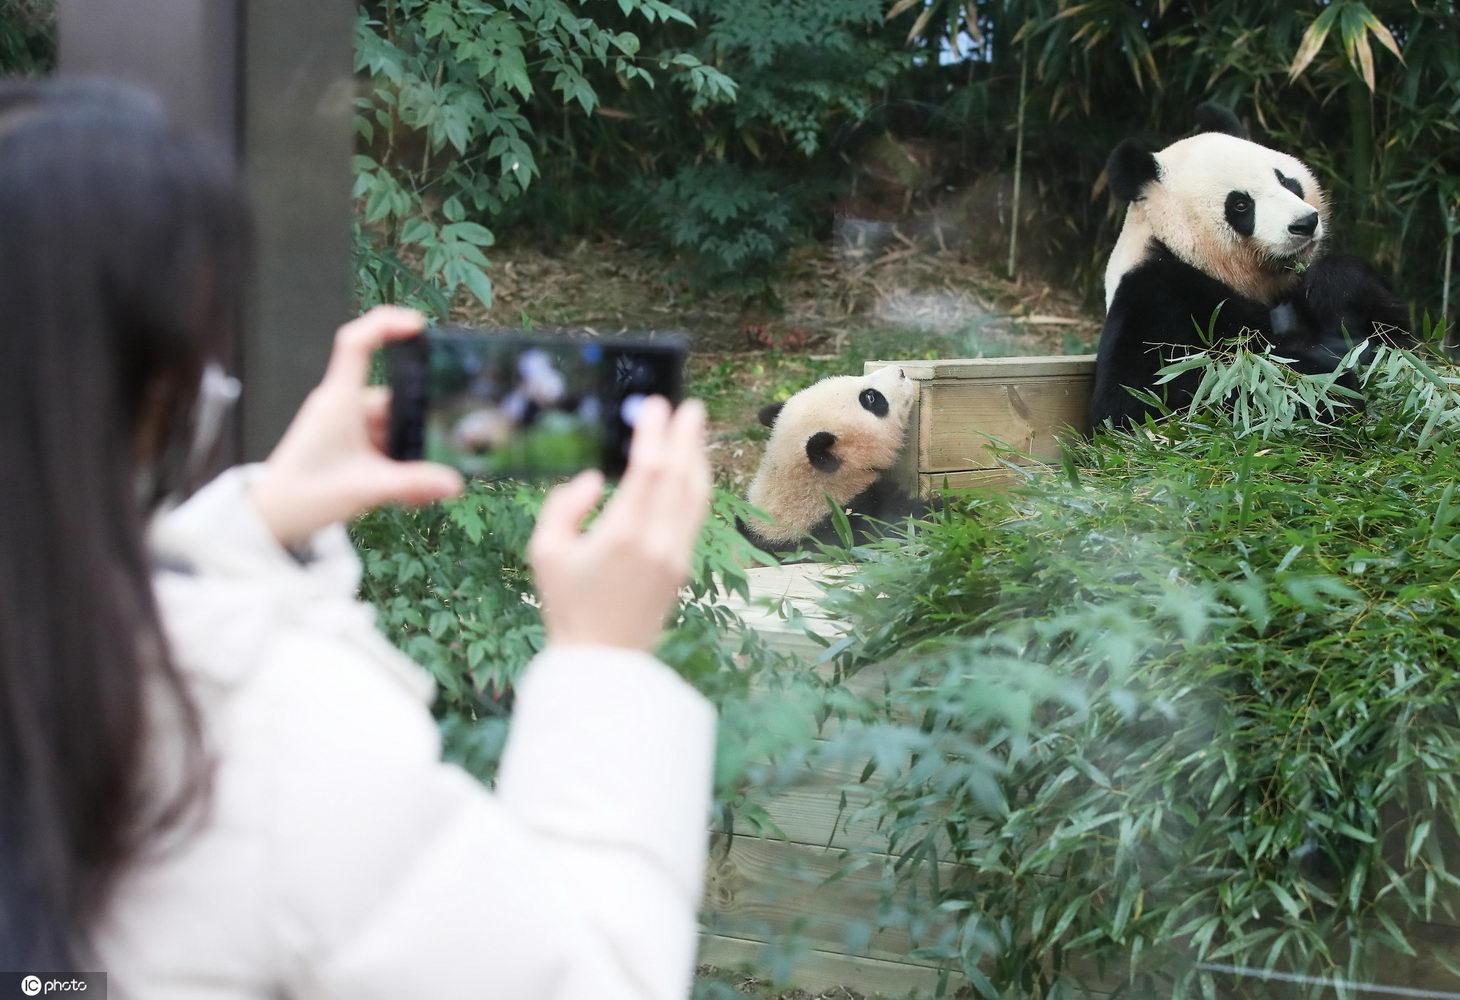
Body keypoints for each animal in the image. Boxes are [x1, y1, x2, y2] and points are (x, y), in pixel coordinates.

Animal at [1092, 104, 1407, 426]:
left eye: (1285, 181)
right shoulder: (1155, 300)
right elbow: (1153, 399)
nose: (1305, 223)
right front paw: (1326, 383)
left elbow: (1393, 339)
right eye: (1241, 204)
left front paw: (1334, 286)